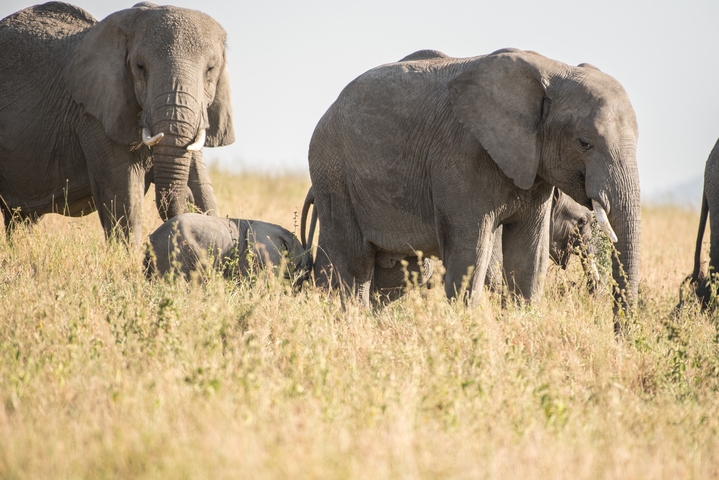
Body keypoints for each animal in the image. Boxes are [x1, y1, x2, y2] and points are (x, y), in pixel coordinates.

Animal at [0, 2, 234, 245]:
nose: (184, 198)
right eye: (140, 67)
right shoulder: (95, 114)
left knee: (21, 219)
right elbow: (123, 199)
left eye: (210, 69)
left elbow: (203, 191)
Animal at [307, 48, 641, 321]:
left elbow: (528, 256)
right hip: (334, 171)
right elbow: (471, 253)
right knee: (356, 263)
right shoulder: (461, 157)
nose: (621, 336)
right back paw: (355, 323)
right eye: (584, 143)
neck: (553, 70)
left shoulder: (533, 167)